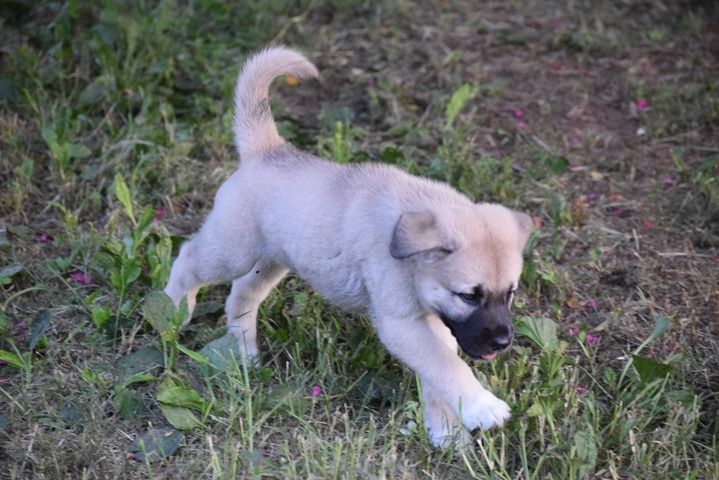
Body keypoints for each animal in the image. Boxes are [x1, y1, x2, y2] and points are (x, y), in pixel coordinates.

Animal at [164, 46, 533, 448]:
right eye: (468, 296)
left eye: (510, 293)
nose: (503, 342)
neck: (409, 258)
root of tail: (267, 149)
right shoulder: (401, 323)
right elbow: (446, 365)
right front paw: (482, 407)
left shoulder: (431, 322)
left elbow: (437, 371)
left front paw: (445, 431)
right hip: (232, 250)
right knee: (188, 259)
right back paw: (172, 313)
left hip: (272, 260)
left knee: (241, 296)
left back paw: (243, 352)